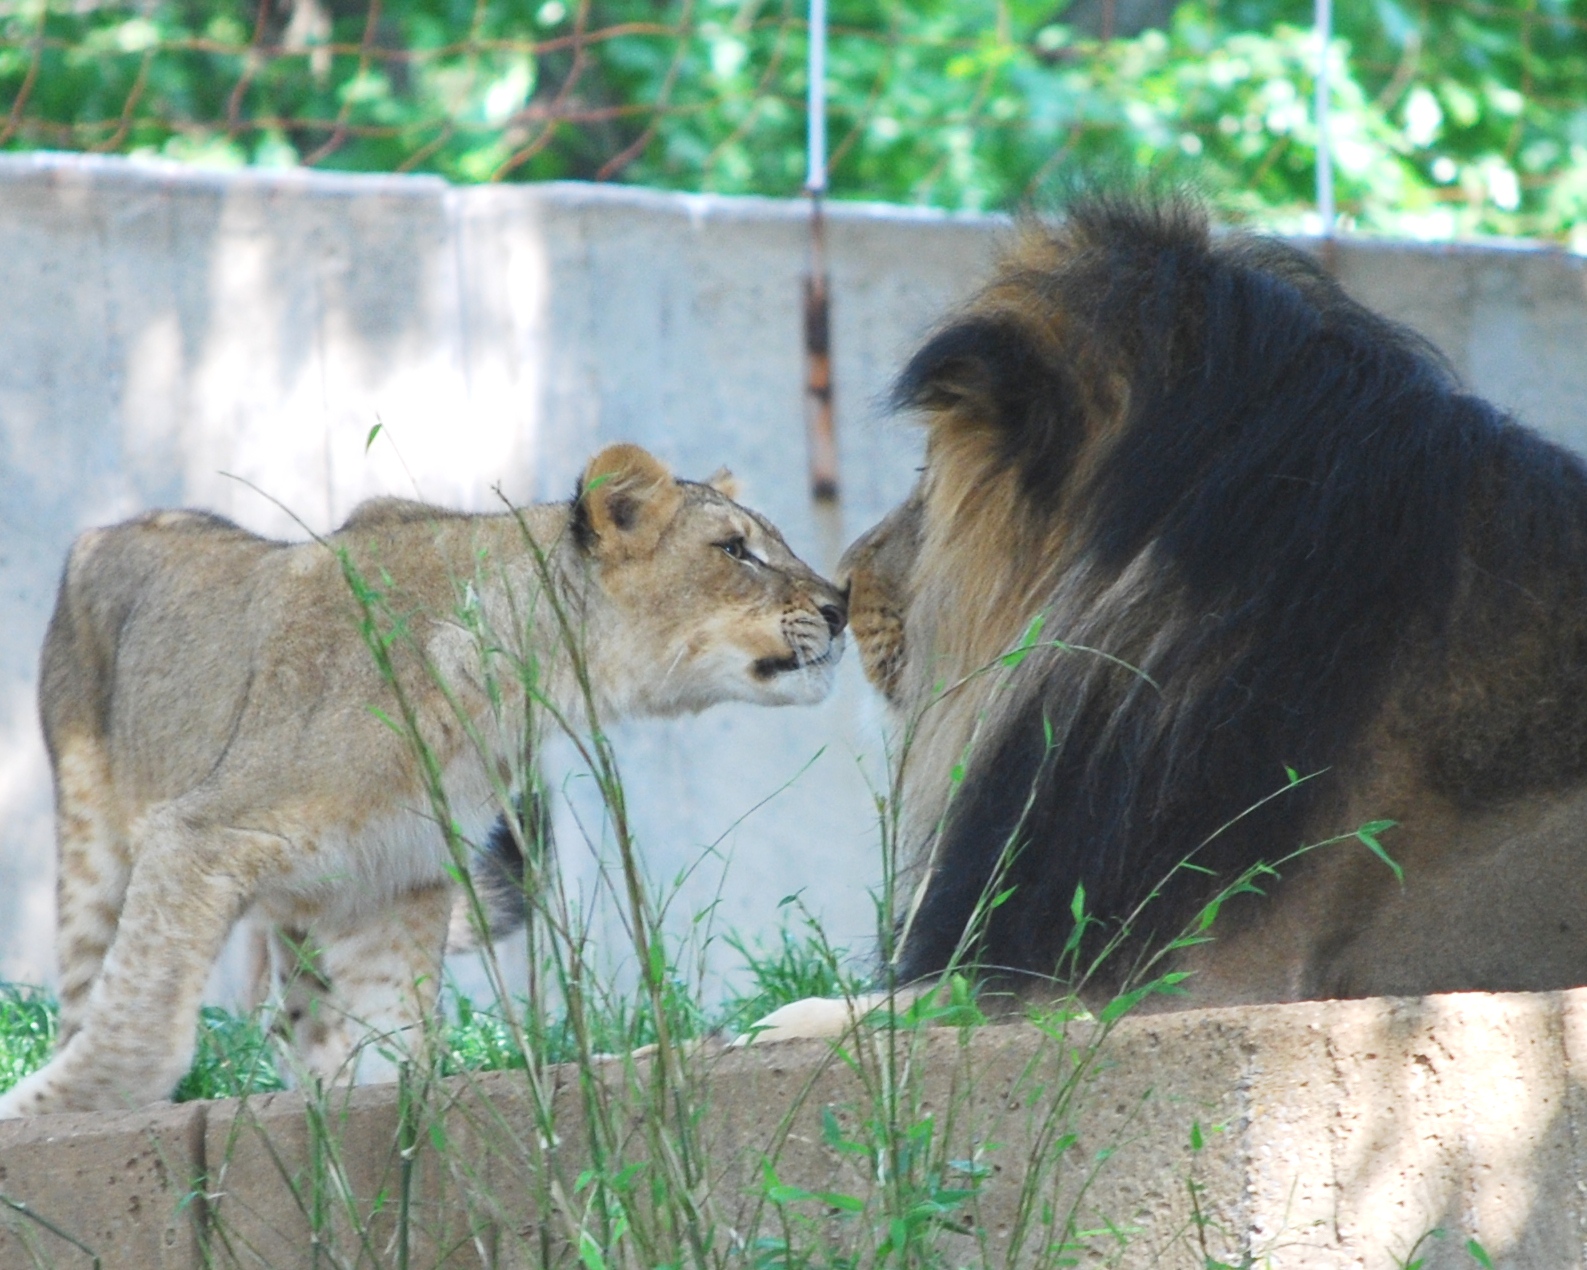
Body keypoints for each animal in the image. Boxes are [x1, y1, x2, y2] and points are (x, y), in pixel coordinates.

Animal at [0, 443, 846, 1116]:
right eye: (735, 549)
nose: (840, 605)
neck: (510, 687)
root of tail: (108, 527)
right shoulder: (200, 834)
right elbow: (144, 1021)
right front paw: (41, 1111)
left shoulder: (397, 877)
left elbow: (395, 1032)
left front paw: (383, 1112)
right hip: (92, 841)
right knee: (84, 996)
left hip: (305, 901)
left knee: (298, 1022)